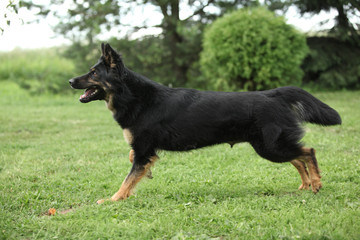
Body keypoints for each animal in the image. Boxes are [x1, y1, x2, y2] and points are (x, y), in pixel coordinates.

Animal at [69, 43, 342, 202]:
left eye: (93, 73)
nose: (70, 81)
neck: (135, 96)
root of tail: (272, 94)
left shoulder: (144, 150)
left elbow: (128, 179)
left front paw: (114, 199)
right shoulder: (143, 150)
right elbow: (133, 162)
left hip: (271, 147)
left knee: (308, 151)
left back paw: (316, 183)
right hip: (271, 147)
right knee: (298, 156)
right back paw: (306, 184)